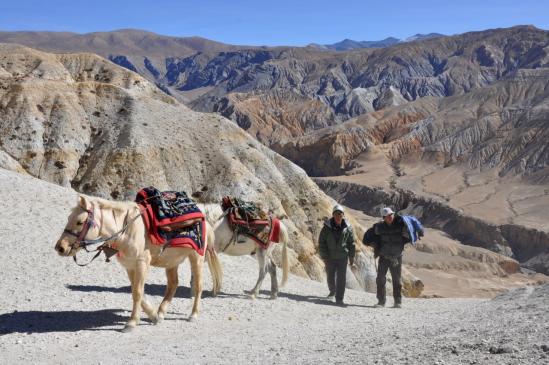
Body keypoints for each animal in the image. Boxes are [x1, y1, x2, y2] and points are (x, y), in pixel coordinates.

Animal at [53, 195, 220, 332]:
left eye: (80, 222)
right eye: (69, 218)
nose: (60, 247)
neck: (127, 230)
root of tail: (205, 220)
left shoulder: (141, 264)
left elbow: (138, 293)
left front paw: (131, 323)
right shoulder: (130, 266)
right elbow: (137, 291)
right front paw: (153, 316)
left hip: (196, 258)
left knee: (198, 286)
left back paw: (193, 314)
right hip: (171, 261)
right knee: (173, 284)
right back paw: (161, 312)